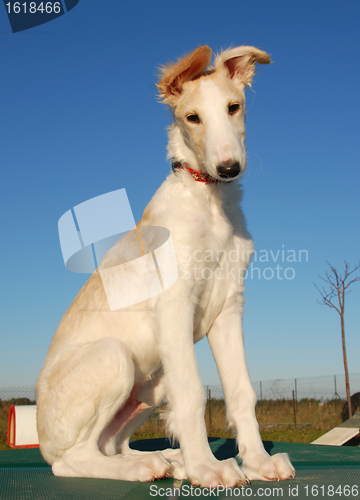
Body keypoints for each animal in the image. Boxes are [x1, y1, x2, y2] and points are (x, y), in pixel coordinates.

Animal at [37, 45, 296, 486]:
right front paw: (208, 468)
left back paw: (167, 460)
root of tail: (40, 439)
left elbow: (242, 391)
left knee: (112, 445)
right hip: (115, 357)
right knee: (71, 460)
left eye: (234, 107)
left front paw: (258, 463)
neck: (210, 204)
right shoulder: (175, 305)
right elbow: (192, 395)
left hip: (152, 382)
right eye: (192, 117)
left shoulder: (229, 308)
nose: (228, 168)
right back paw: (146, 465)